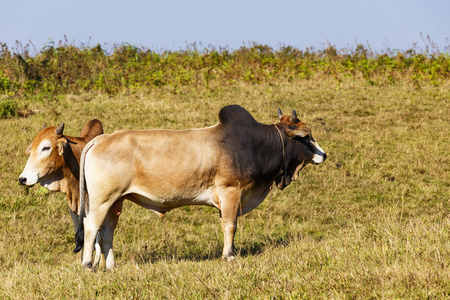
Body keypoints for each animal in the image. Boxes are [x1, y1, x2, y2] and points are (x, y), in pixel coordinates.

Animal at [74, 105, 326, 270]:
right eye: (307, 136)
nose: (323, 155)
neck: (256, 144)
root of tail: (99, 139)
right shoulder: (230, 192)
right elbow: (230, 226)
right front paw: (229, 256)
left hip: (115, 201)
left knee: (107, 231)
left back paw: (110, 266)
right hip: (101, 200)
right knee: (91, 226)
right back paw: (88, 264)